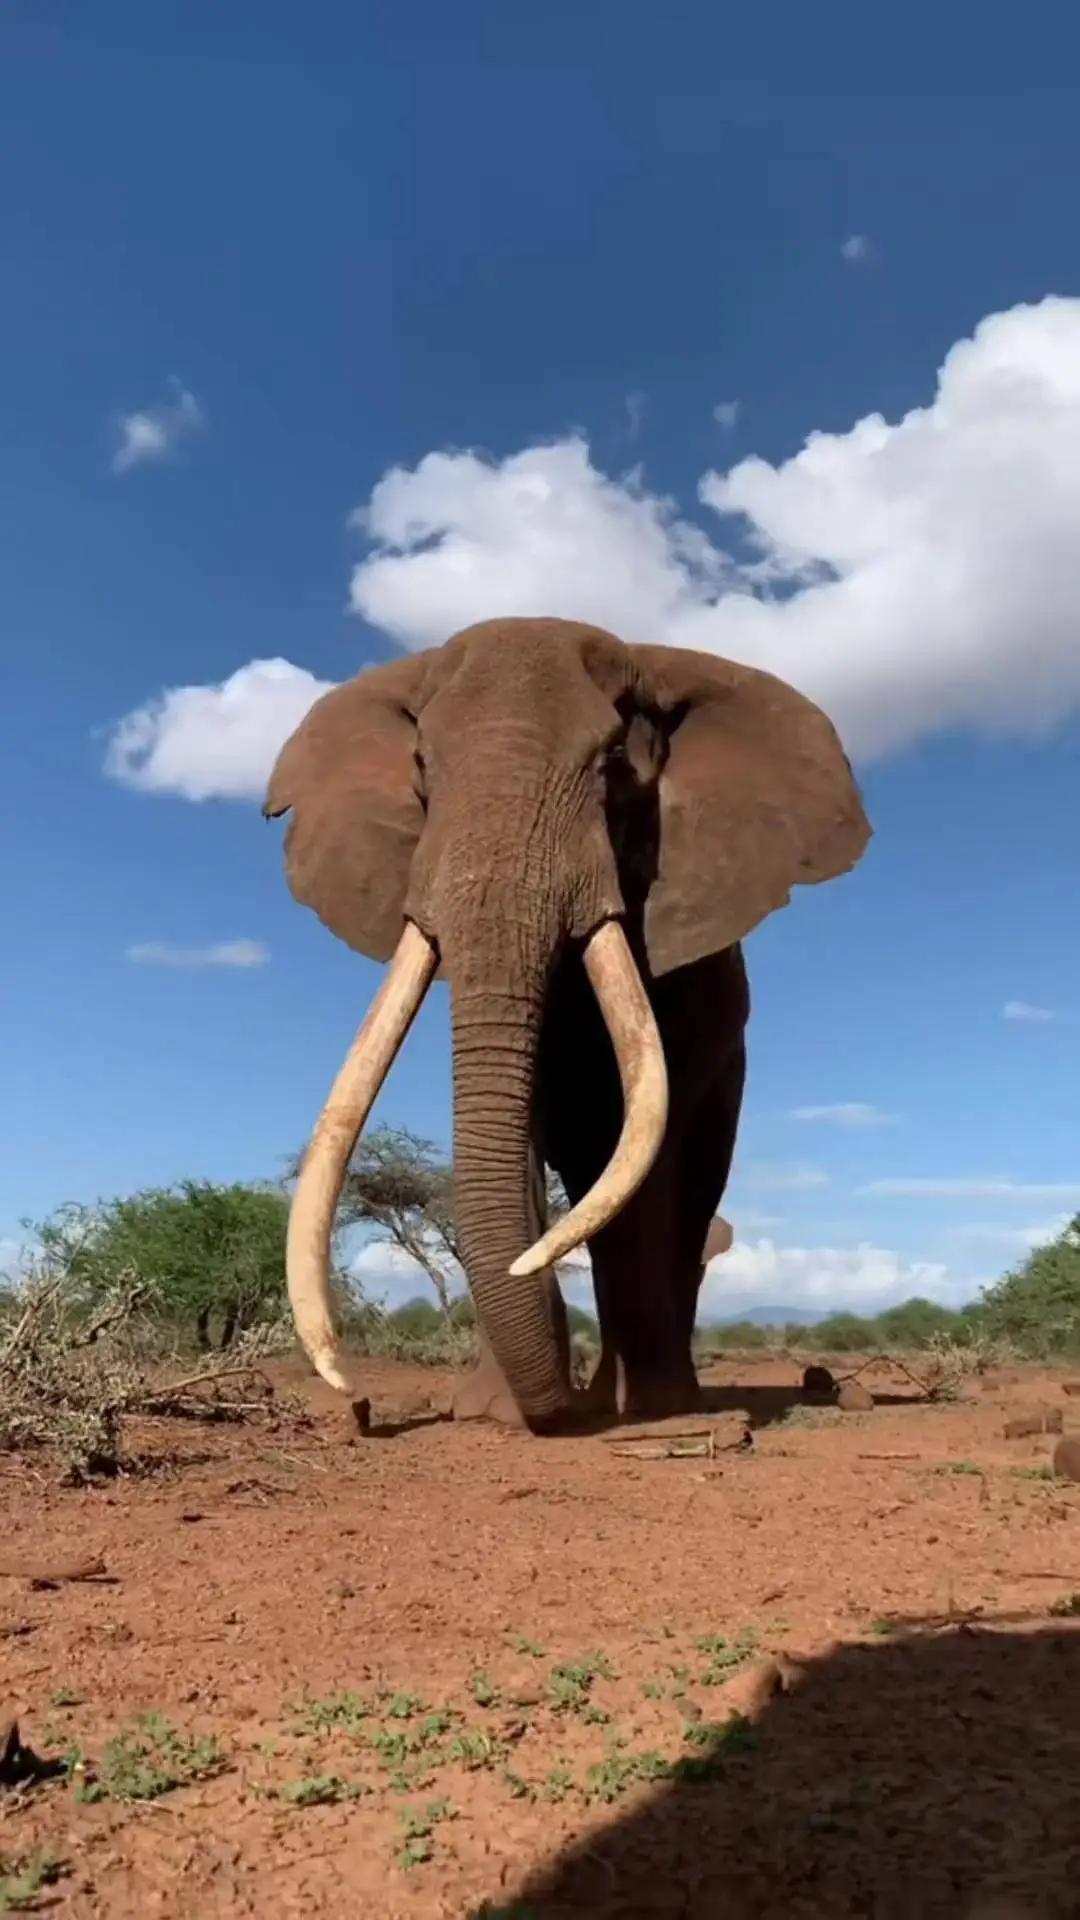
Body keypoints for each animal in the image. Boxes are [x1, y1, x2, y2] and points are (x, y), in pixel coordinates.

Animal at [265, 617, 870, 1433]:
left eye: (614, 763)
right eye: (422, 766)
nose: (356, 1398)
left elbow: (640, 1147)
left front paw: (648, 1411)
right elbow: (516, 1137)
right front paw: (493, 1412)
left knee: (686, 1195)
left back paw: (658, 1397)